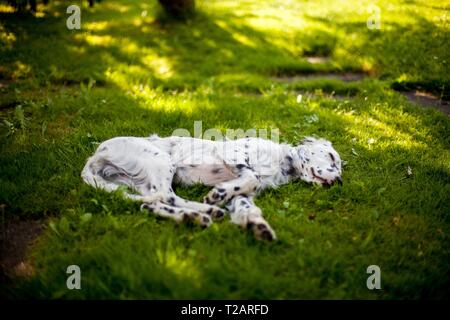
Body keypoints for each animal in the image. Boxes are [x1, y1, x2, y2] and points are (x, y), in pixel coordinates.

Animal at [81, 134, 342, 240]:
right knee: (162, 195)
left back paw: (199, 215)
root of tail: (97, 154)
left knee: (151, 203)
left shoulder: (242, 195)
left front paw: (258, 226)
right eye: (331, 156)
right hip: (161, 160)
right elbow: (253, 176)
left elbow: (246, 203)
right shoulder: (233, 154)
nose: (339, 182)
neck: (283, 163)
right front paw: (217, 194)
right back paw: (205, 210)